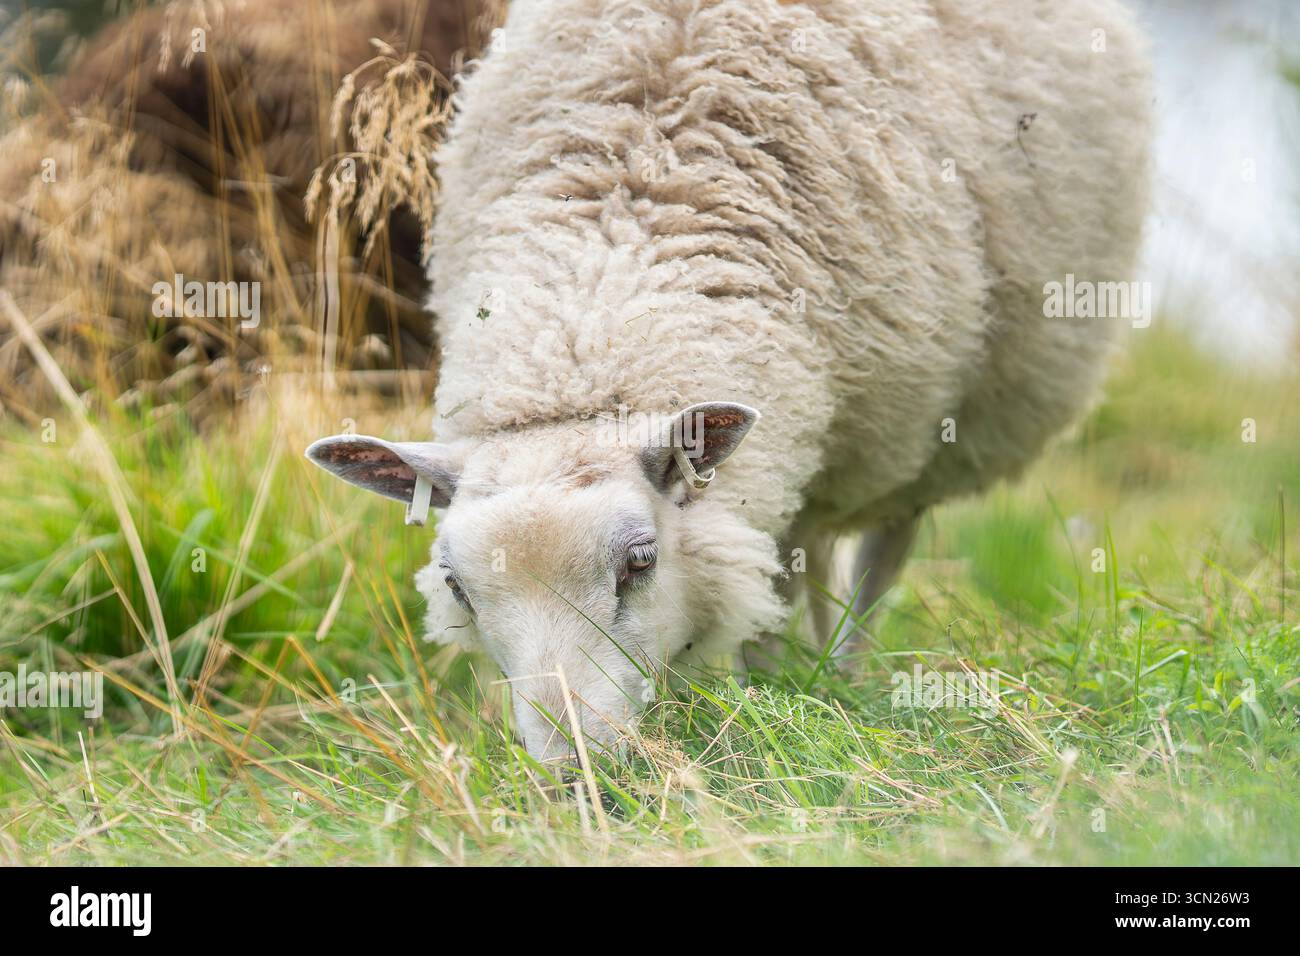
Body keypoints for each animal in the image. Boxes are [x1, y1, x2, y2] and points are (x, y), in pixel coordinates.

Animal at [308, 0, 1152, 761]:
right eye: (458, 588)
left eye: (640, 564)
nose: (574, 767)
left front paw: (775, 707)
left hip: (923, 432)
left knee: (879, 555)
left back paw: (844, 670)